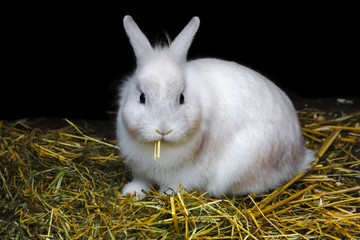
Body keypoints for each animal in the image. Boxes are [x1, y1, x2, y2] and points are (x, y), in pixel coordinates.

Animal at [116, 15, 314, 199]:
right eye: (142, 97)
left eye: (182, 98)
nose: (163, 130)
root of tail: (300, 154)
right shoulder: (142, 170)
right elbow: (141, 181)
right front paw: (130, 192)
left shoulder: (184, 174)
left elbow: (175, 185)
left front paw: (164, 196)